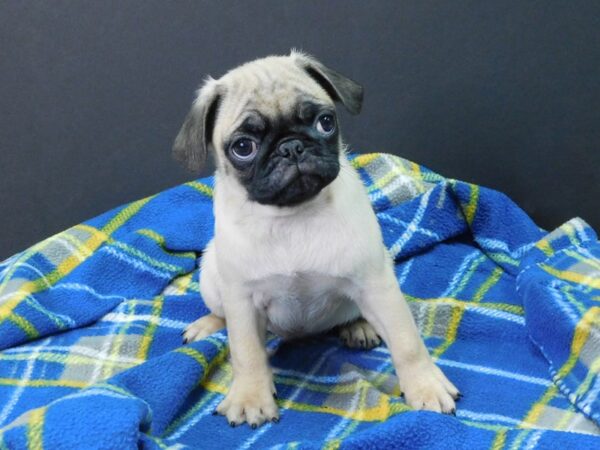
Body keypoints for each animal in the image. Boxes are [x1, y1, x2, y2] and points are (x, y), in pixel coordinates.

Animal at [173, 51, 460, 428]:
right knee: (223, 316)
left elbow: (406, 341)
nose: (292, 147)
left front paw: (425, 386)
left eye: (325, 122)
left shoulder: (376, 282)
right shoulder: (242, 300)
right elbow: (246, 352)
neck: (293, 215)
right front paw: (250, 397)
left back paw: (360, 325)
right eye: (243, 147)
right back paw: (206, 325)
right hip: (210, 275)